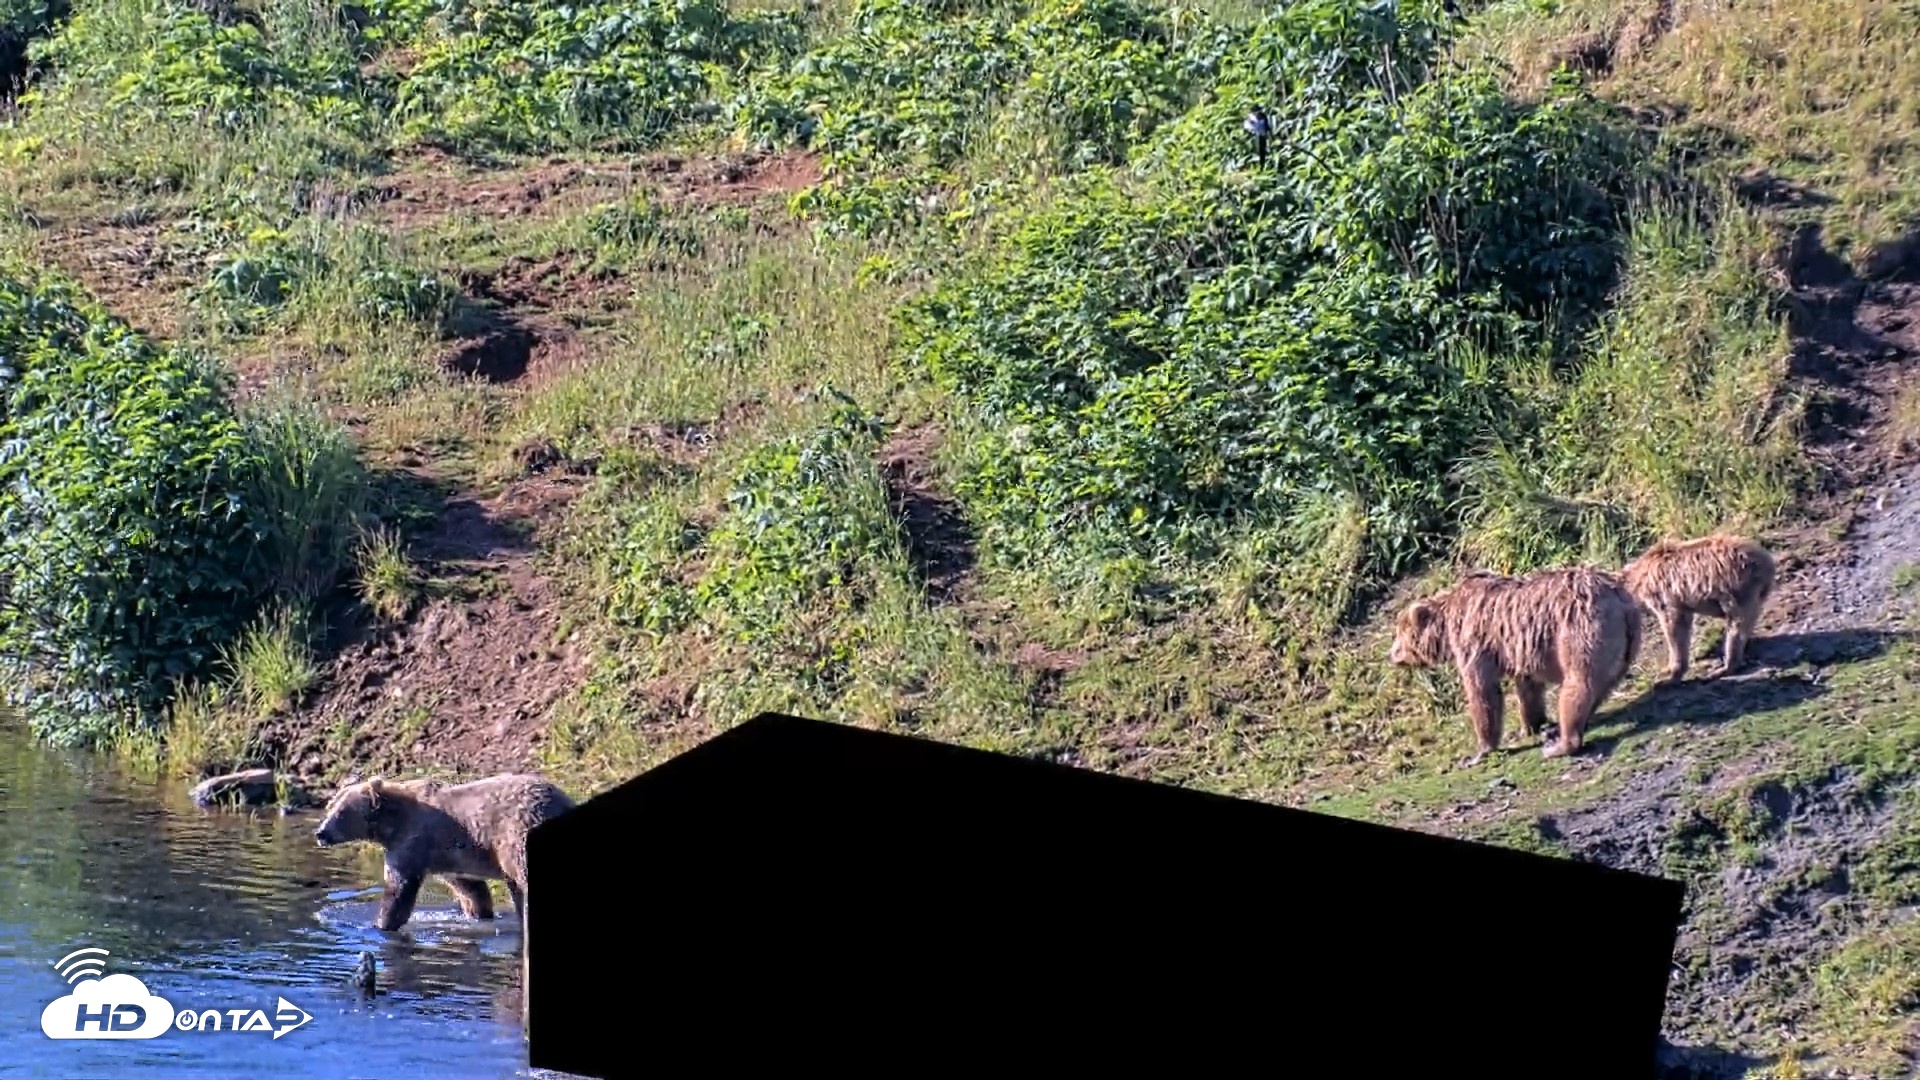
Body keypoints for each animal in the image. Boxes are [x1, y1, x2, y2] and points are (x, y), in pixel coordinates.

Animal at [1389, 565, 1644, 764]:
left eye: (1400, 634)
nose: (1391, 654)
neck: (1447, 625)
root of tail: (1619, 597)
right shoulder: (1523, 650)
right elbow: (1528, 689)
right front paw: (1529, 727)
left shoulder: (1475, 642)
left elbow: (1483, 692)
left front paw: (1478, 752)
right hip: (1624, 642)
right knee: (1602, 685)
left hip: (1580, 628)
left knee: (1578, 684)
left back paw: (1559, 745)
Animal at [1619, 533, 1777, 684]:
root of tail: (1766, 561)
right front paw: (1668, 670)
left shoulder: (1665, 594)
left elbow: (1675, 628)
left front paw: (1671, 674)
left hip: (1737, 586)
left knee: (1736, 626)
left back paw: (1724, 667)